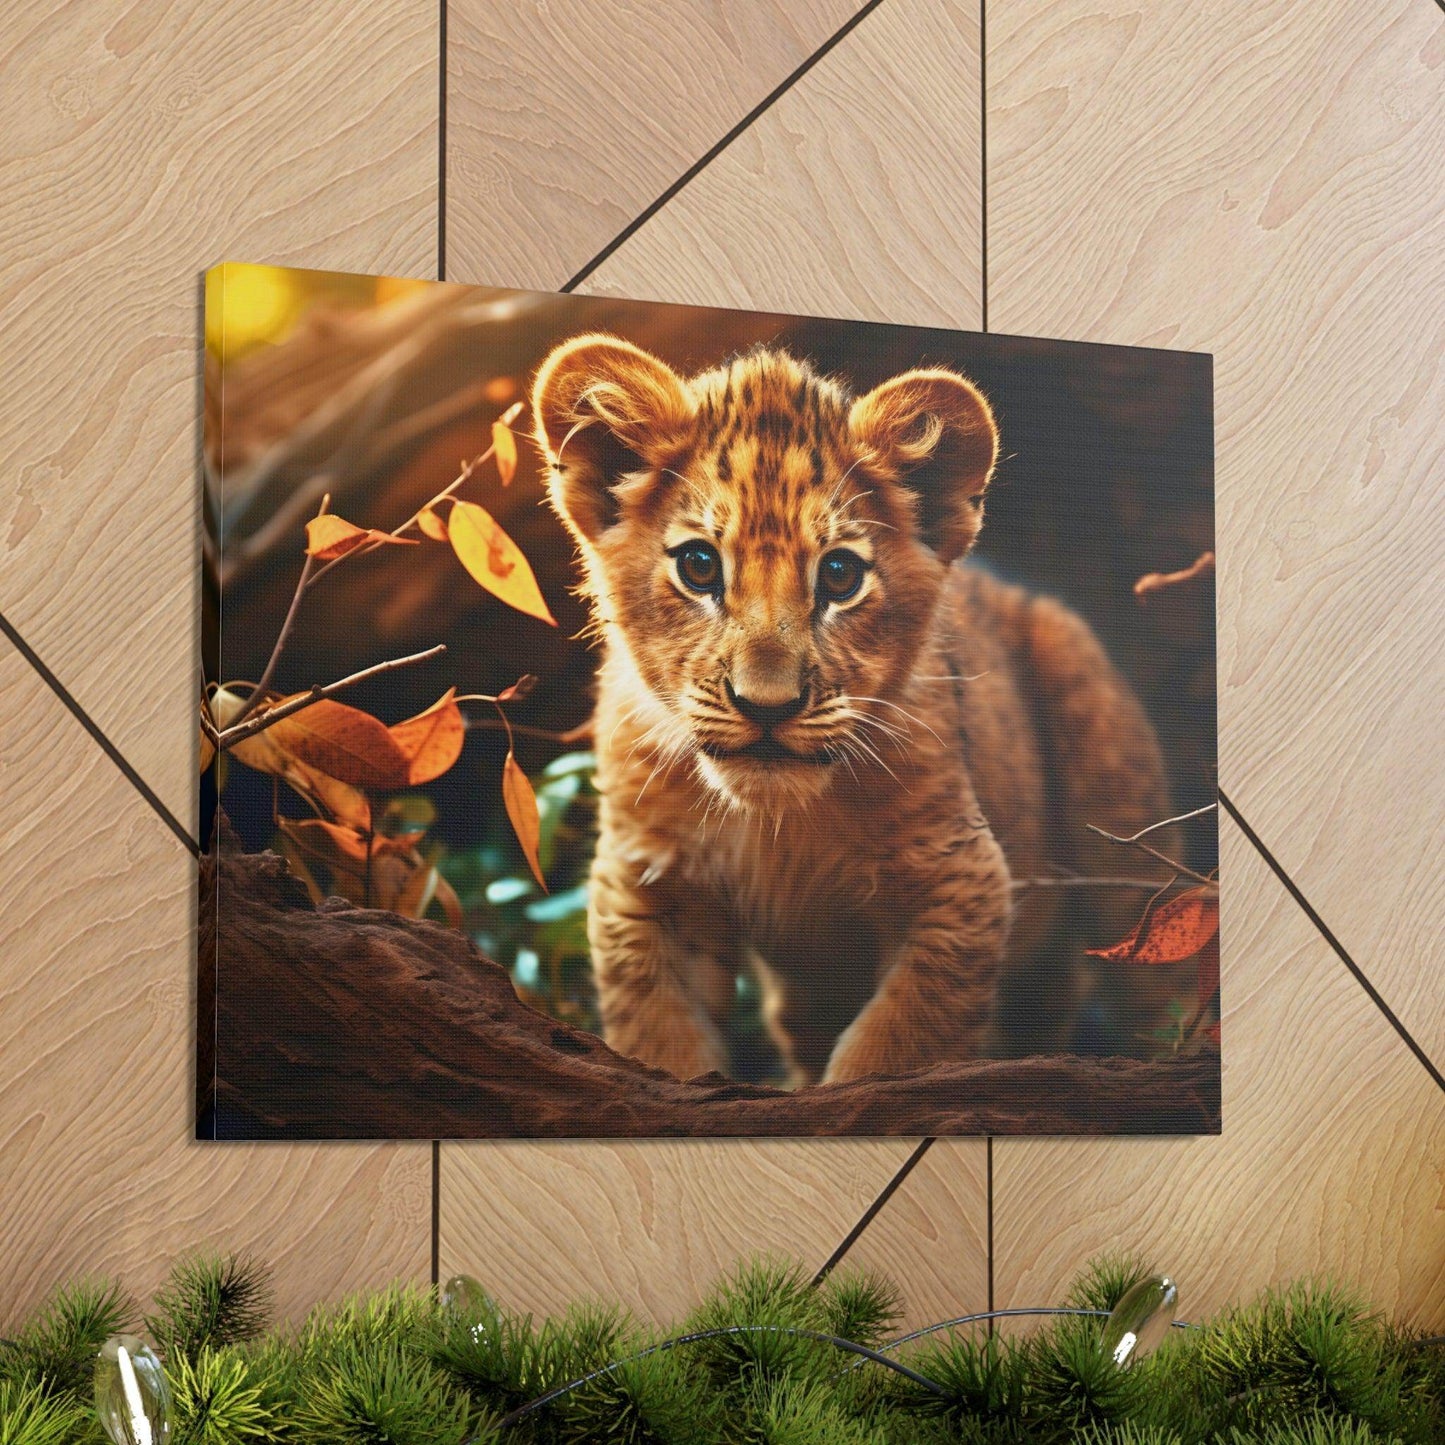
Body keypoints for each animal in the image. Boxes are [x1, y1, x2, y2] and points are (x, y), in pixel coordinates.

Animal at [531, 335, 1175, 1085]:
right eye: (698, 566)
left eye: (839, 575)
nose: (767, 705)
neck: (777, 825)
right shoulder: (648, 890)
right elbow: (664, 1045)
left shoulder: (960, 878)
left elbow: (893, 1046)